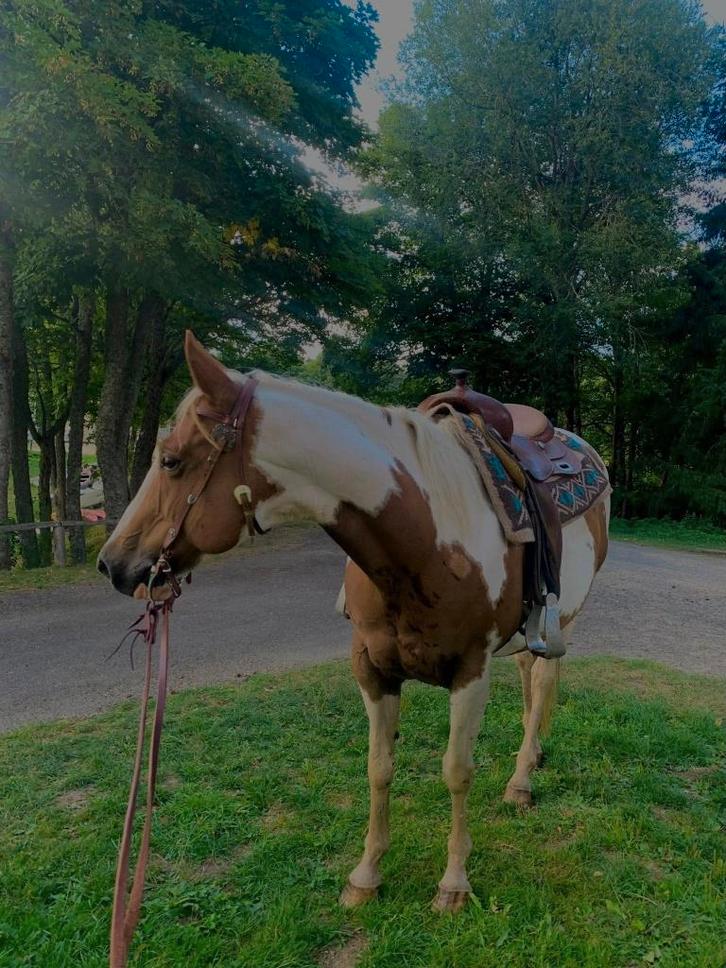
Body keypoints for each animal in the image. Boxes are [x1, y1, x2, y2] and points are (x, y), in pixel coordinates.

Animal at [98, 332, 609, 913]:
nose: (113, 564)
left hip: (563, 618)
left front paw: (453, 883)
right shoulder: (371, 668)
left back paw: (521, 779)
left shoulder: (470, 671)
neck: (425, 538)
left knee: (543, 681)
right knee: (530, 676)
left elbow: (457, 773)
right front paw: (366, 874)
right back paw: (533, 755)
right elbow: (378, 767)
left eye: (171, 460)